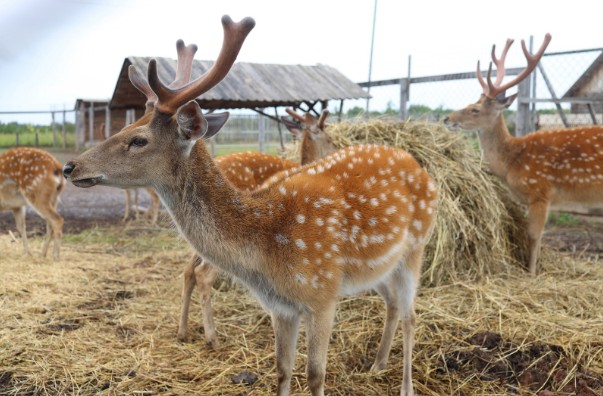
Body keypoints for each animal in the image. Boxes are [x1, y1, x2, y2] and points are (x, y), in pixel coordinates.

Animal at [178, 107, 340, 346]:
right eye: (329, 138)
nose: (337, 148)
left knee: (189, 269)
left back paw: (183, 331)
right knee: (203, 273)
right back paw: (212, 338)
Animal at [444, 33, 603, 276]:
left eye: (475, 109)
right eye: (471, 102)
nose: (447, 118)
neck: (511, 163)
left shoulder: (540, 191)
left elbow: (534, 236)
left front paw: (531, 273)